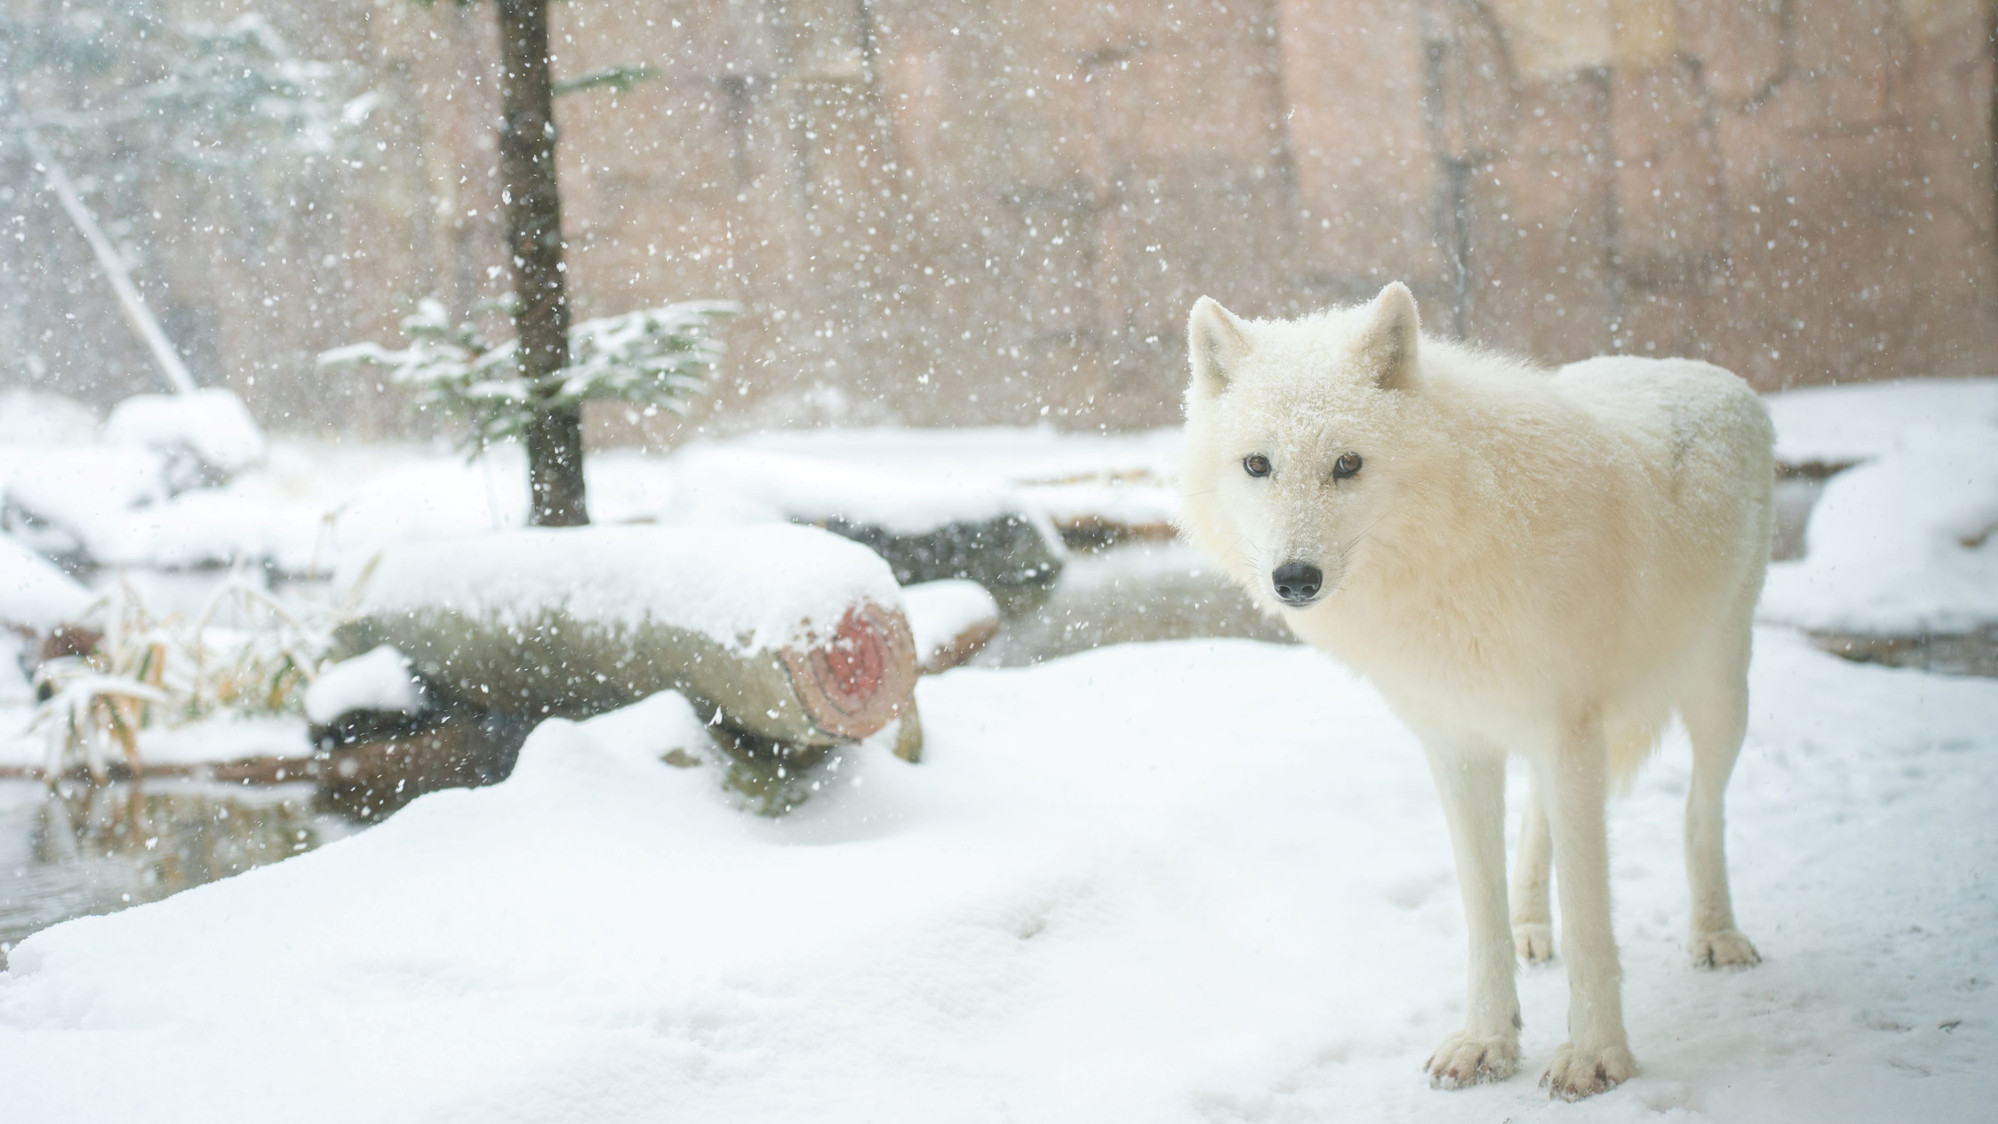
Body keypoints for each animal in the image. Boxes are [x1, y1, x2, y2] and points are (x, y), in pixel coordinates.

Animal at [1174, 285, 1774, 1102]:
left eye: (1348, 463)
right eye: (1257, 464)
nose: (1294, 579)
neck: (1461, 540)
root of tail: (1702, 368)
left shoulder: (1565, 729)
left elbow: (1591, 914)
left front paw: (1595, 1056)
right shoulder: (1459, 744)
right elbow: (1479, 910)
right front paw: (1489, 1040)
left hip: (1717, 698)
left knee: (1700, 812)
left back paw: (1715, 933)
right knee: (1538, 823)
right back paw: (1531, 929)